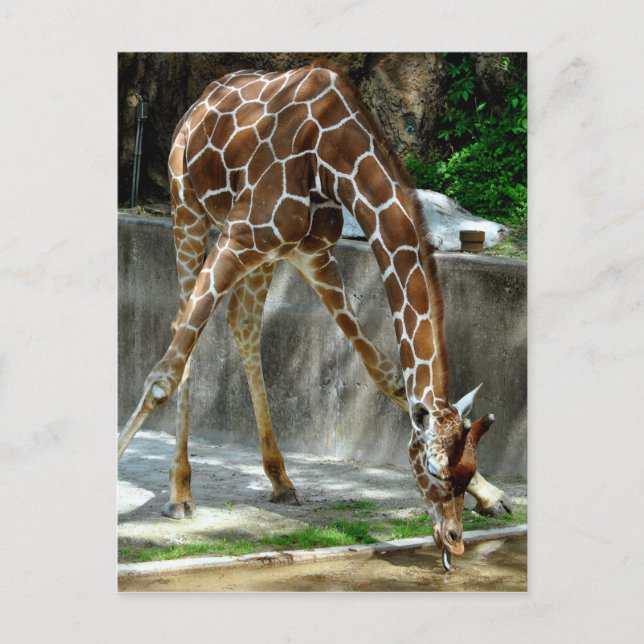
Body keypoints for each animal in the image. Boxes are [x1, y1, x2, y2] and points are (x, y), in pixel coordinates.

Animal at [118, 61, 512, 557]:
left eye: (465, 471)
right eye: (433, 471)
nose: (454, 541)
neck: (333, 154)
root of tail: (200, 101)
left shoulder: (312, 254)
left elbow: (388, 376)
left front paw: (493, 494)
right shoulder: (240, 235)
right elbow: (162, 376)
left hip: (265, 254)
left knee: (242, 324)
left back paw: (280, 480)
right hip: (188, 210)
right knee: (182, 330)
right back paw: (181, 494)